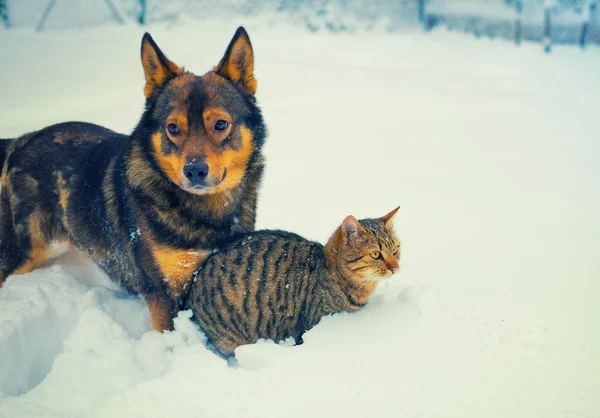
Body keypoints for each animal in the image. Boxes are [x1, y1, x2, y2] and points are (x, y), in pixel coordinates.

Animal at [0, 27, 268, 334]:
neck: (203, 211)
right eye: (173, 128)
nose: (194, 171)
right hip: (25, 251)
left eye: (221, 125)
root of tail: (22, 140)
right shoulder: (163, 292)